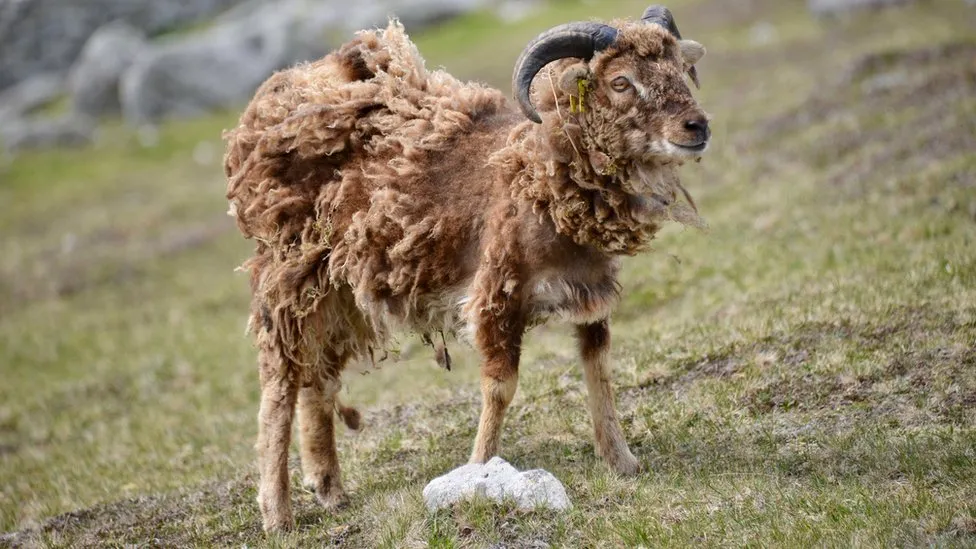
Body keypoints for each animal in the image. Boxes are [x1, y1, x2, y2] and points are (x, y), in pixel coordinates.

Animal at [225, 5, 712, 532]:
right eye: (621, 81)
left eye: (681, 68)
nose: (697, 126)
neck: (539, 175)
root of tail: (273, 97)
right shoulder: (497, 294)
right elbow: (500, 388)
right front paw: (479, 471)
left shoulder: (590, 294)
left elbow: (598, 371)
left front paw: (622, 462)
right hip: (289, 278)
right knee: (278, 388)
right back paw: (277, 513)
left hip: (337, 291)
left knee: (319, 380)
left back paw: (330, 490)